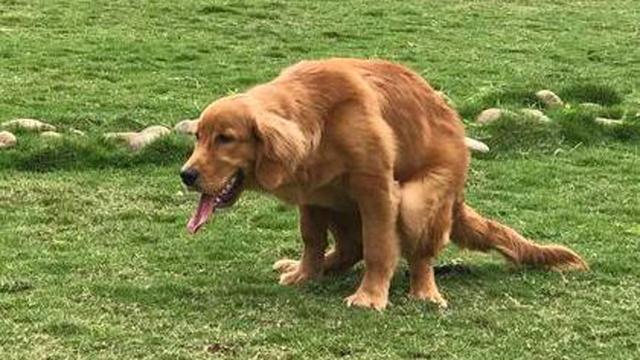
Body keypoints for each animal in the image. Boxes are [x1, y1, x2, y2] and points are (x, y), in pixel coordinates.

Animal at [180, 58, 584, 310]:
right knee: (347, 250)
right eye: (198, 137)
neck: (320, 122)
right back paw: (309, 267)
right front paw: (304, 273)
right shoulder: (312, 195)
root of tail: (458, 197)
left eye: (226, 139)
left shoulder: (376, 190)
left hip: (418, 201)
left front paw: (370, 297)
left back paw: (425, 293)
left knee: (418, 256)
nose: (186, 175)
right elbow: (312, 240)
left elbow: (379, 248)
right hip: (337, 201)